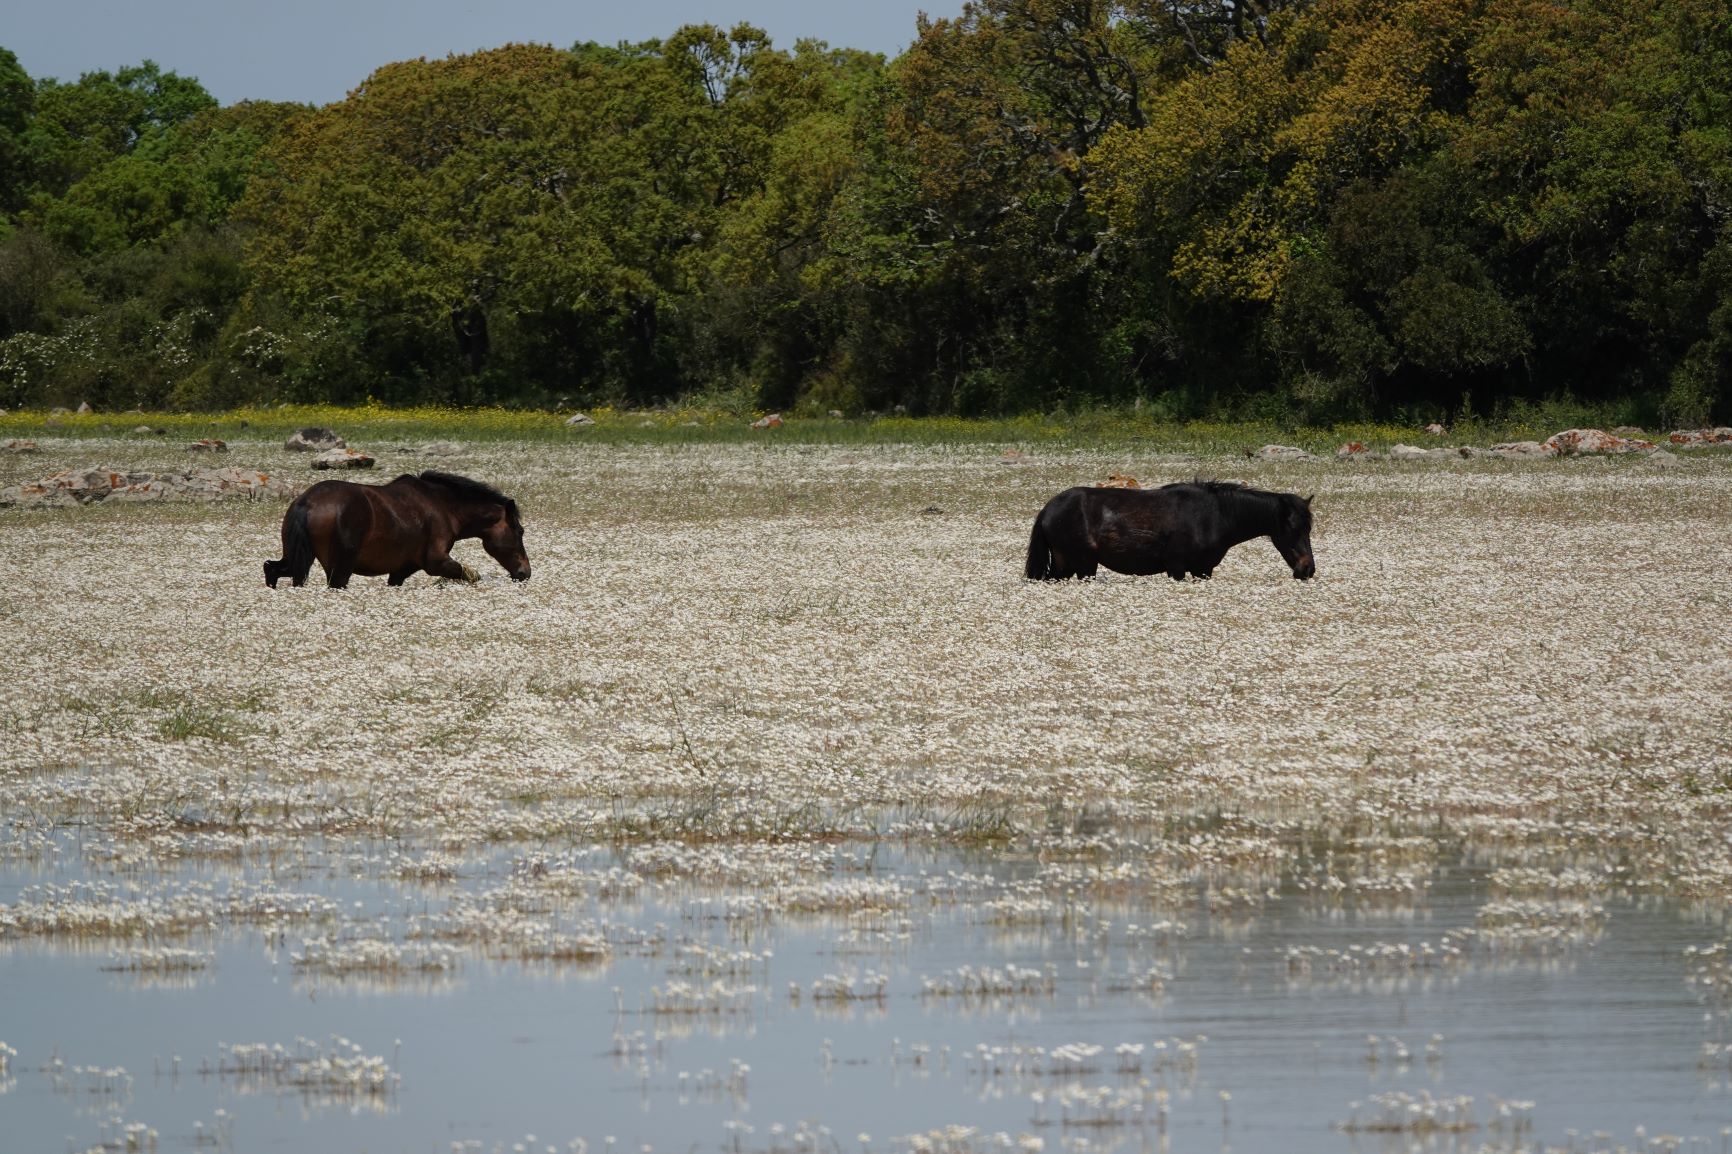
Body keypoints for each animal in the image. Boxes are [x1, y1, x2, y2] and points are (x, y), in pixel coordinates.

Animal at [263, 471, 526, 589]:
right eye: (520, 531)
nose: (525, 573)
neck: (443, 506)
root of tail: (306, 502)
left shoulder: (401, 569)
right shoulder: (436, 562)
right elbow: (471, 575)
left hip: (296, 559)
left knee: (272, 570)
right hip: (340, 570)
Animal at [1018, 478, 1316, 578]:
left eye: (1309, 529)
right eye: (1293, 528)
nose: (1307, 569)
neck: (1212, 514)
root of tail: (1047, 509)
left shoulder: (1203, 569)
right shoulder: (1177, 567)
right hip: (1082, 565)